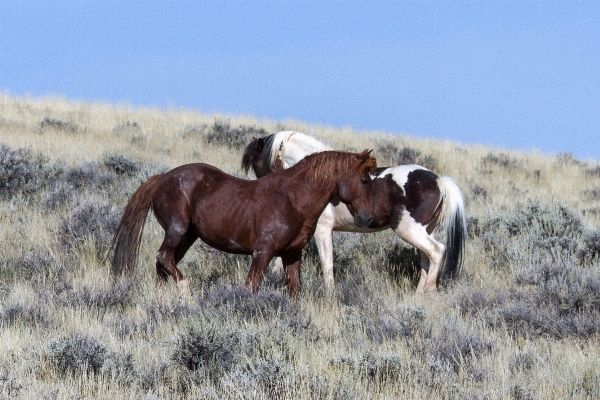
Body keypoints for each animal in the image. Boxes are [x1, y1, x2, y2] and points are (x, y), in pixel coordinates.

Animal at [110, 150, 376, 296]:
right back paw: (185, 292)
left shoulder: (292, 254)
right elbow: (251, 287)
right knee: (164, 257)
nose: (367, 218)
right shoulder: (262, 253)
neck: (293, 198)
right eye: (364, 180)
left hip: (187, 237)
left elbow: (295, 291)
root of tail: (162, 177)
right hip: (177, 231)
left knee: (163, 264)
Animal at [241, 131, 466, 294]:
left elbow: (327, 264)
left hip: (409, 230)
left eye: (257, 165)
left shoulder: (322, 230)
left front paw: (330, 294)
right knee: (426, 259)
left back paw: (430, 291)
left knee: (437, 251)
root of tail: (438, 180)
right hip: (425, 231)